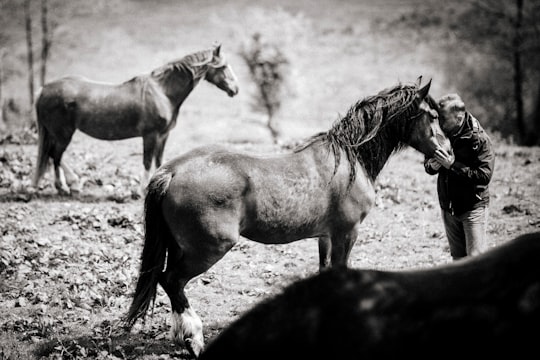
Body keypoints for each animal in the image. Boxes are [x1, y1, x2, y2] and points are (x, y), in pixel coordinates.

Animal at [31, 43, 238, 195]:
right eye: (224, 66)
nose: (235, 89)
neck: (163, 92)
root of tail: (43, 89)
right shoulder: (150, 135)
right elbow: (147, 162)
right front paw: (141, 191)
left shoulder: (163, 136)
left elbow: (159, 161)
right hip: (63, 133)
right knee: (56, 156)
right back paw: (65, 186)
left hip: (58, 133)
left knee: (54, 156)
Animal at [125, 77, 452, 356]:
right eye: (433, 116)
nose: (448, 154)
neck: (350, 160)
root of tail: (172, 172)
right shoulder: (346, 234)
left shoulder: (325, 237)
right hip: (208, 249)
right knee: (172, 280)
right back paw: (193, 339)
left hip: (181, 246)